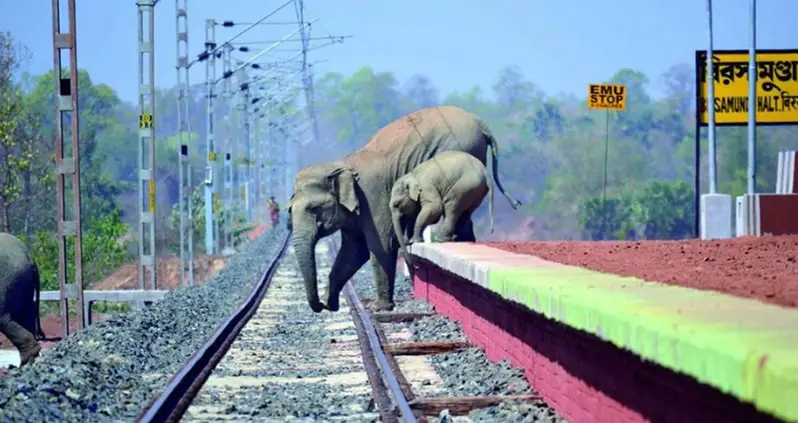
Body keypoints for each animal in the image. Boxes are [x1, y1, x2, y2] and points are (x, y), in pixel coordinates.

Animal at [0, 232, 45, 367]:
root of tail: (30, 257)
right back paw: (29, 361)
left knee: (3, 317)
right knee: (27, 313)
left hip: (9, 280)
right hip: (23, 281)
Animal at [287, 105, 521, 313]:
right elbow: (353, 251)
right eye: (289, 210)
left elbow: (380, 246)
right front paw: (332, 303)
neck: (340, 165)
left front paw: (380, 308)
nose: (321, 306)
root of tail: (482, 125)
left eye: (313, 208)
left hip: (461, 148)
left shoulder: (372, 197)